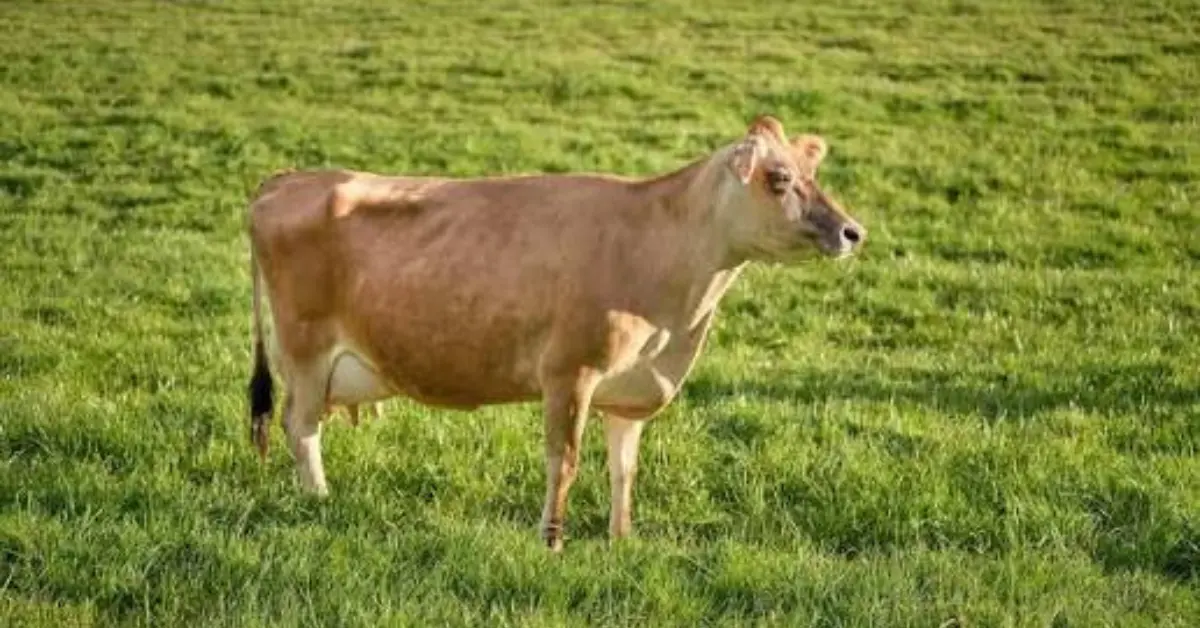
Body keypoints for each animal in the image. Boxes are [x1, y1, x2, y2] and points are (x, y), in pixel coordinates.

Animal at [246, 114, 865, 551]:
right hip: (306, 349)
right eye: (779, 178)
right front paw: (552, 541)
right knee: (300, 425)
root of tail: (289, 177)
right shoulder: (570, 372)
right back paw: (320, 499)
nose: (852, 231)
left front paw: (622, 539)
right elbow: (563, 460)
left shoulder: (630, 387)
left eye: (813, 174)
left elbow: (623, 468)